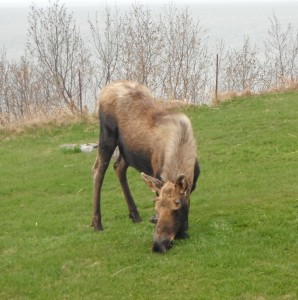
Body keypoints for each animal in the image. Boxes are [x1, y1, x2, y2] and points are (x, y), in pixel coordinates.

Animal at [92, 80, 200, 253]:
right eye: (157, 208)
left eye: (176, 210)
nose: (158, 244)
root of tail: (106, 89)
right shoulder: (157, 174)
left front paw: (183, 230)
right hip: (107, 135)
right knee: (98, 169)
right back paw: (97, 223)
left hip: (126, 150)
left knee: (118, 167)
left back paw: (134, 215)